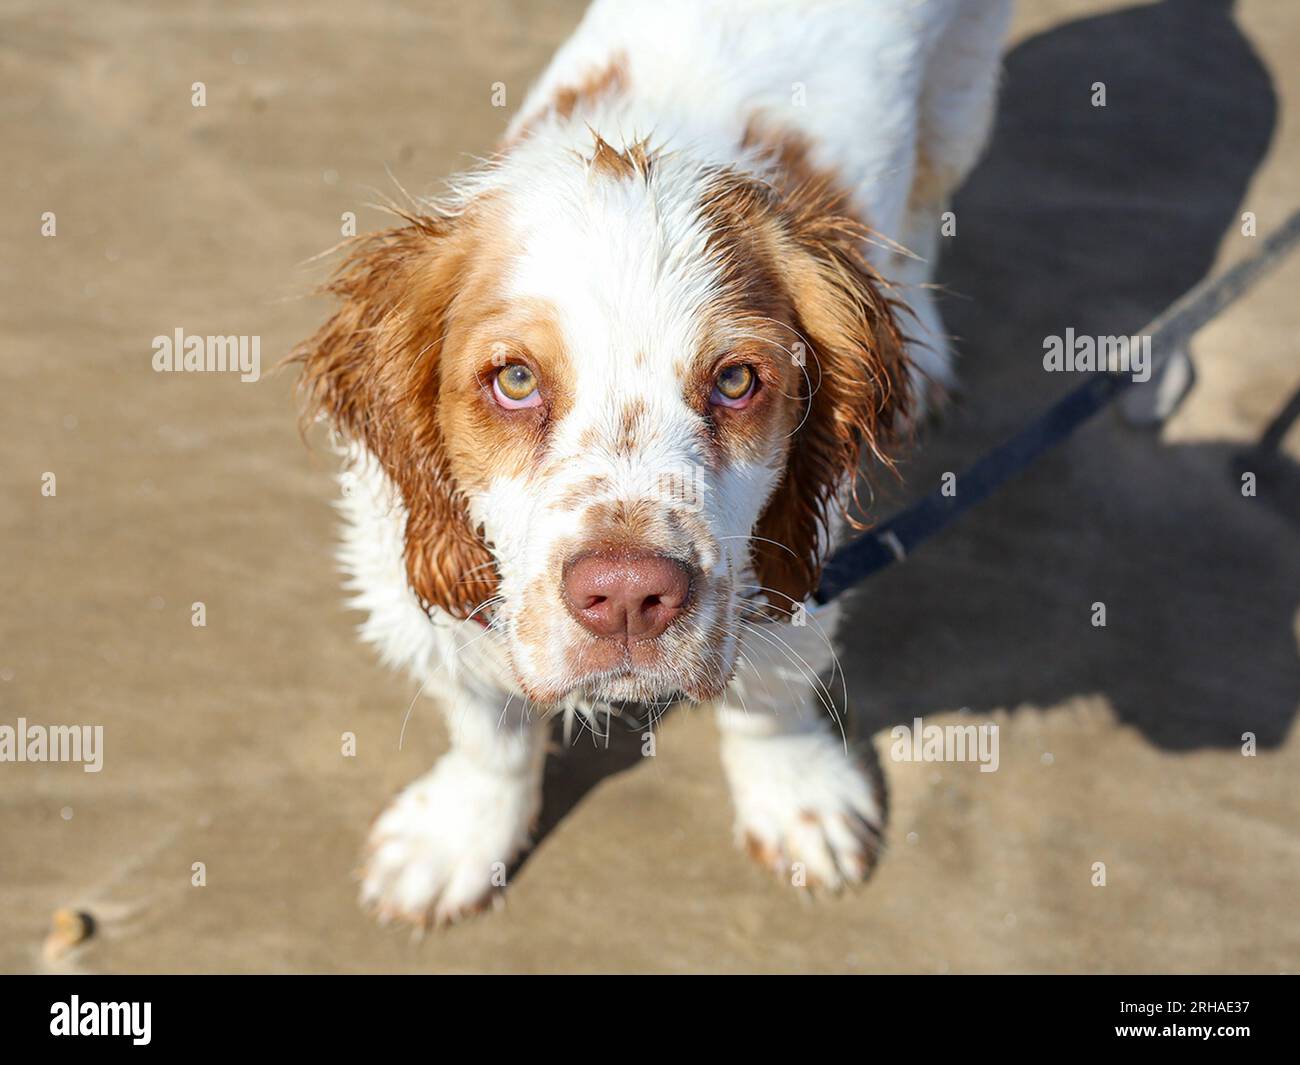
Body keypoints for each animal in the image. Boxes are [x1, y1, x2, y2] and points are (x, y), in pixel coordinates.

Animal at [297, 0, 1013, 925]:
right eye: (515, 379)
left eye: (737, 379)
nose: (630, 596)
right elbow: (489, 726)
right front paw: (457, 838)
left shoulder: (786, 555)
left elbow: (768, 699)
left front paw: (800, 800)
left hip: (961, 97)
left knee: (928, 209)